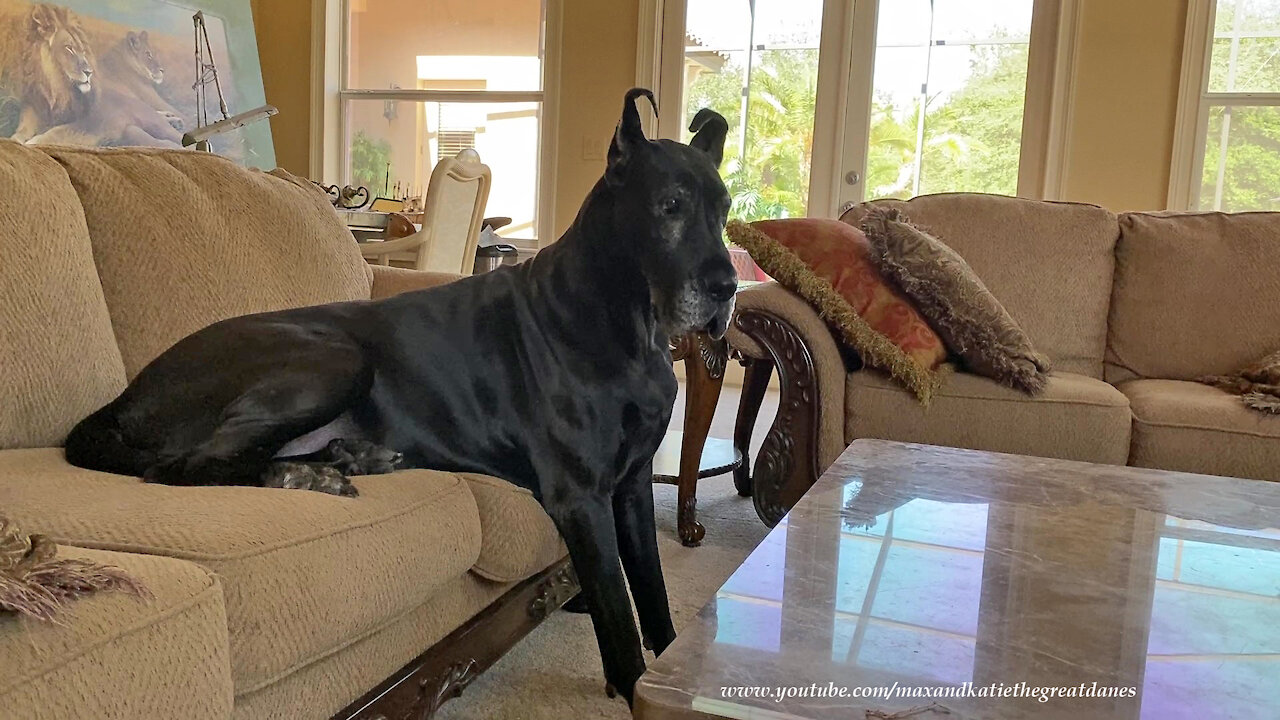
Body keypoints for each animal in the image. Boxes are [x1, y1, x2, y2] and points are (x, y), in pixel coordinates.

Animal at [64, 87, 737, 702]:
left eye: (724, 208)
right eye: (670, 206)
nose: (727, 287)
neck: (628, 325)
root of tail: (124, 397)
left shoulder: (631, 484)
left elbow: (653, 594)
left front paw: (671, 664)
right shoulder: (582, 497)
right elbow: (618, 616)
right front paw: (633, 684)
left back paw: (346, 461)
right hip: (333, 355)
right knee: (189, 465)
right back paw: (309, 476)